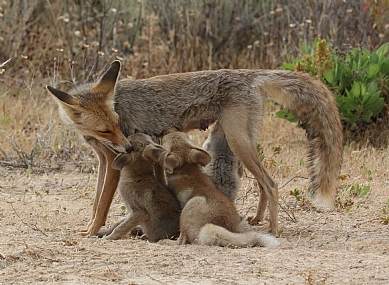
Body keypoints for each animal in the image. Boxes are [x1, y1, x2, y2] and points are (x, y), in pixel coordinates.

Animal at [46, 61, 342, 236]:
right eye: (105, 129)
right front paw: (89, 228)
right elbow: (96, 200)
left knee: (271, 183)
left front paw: (91, 232)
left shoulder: (112, 161)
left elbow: (102, 205)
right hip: (242, 142)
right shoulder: (103, 158)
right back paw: (258, 220)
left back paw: (273, 229)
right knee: (262, 183)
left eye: (118, 122)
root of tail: (248, 73)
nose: (128, 147)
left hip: (238, 142)